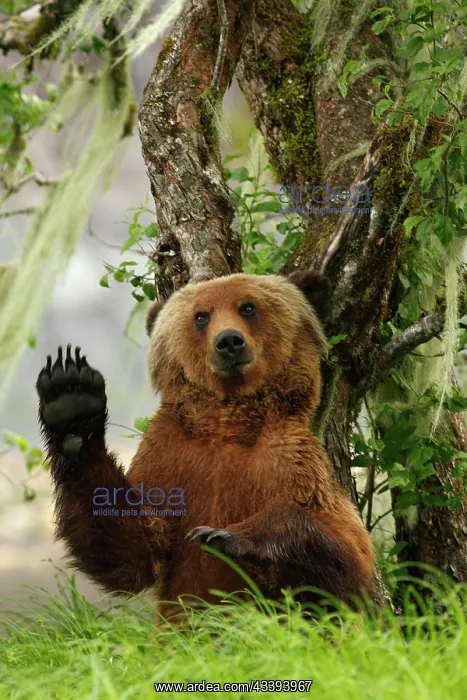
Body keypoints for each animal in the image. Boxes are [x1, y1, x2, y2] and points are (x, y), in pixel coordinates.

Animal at [36, 271, 374, 618]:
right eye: (201, 316)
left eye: (247, 307)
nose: (229, 341)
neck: (227, 426)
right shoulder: (169, 456)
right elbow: (135, 547)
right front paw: (72, 403)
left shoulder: (291, 459)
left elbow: (350, 559)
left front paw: (225, 535)